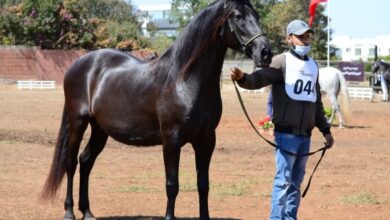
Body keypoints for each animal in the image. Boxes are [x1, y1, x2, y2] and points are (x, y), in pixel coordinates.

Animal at [40, 0, 272, 219]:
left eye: (257, 15)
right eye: (238, 16)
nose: (265, 53)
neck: (184, 80)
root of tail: (78, 64)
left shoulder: (206, 140)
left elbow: (203, 185)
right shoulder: (171, 140)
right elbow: (172, 185)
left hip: (100, 129)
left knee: (86, 161)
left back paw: (87, 212)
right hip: (78, 123)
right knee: (71, 163)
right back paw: (69, 211)